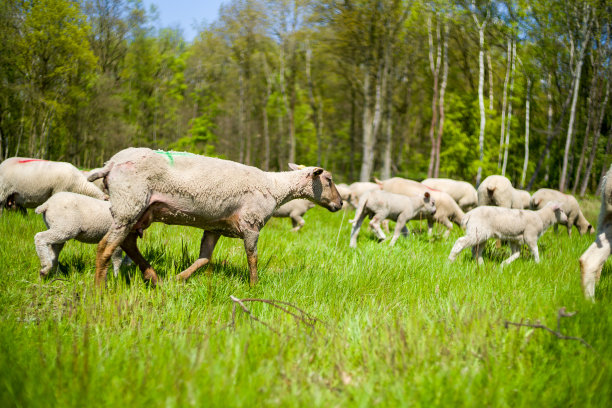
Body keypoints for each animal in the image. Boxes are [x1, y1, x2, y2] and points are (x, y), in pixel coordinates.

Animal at [89, 147, 344, 286]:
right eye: (329, 180)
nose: (341, 203)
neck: (275, 187)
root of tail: (110, 164)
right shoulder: (251, 224)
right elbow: (253, 259)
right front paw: (254, 286)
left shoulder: (215, 227)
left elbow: (204, 259)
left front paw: (178, 279)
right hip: (129, 203)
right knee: (105, 248)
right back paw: (100, 291)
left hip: (139, 211)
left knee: (128, 243)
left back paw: (154, 278)